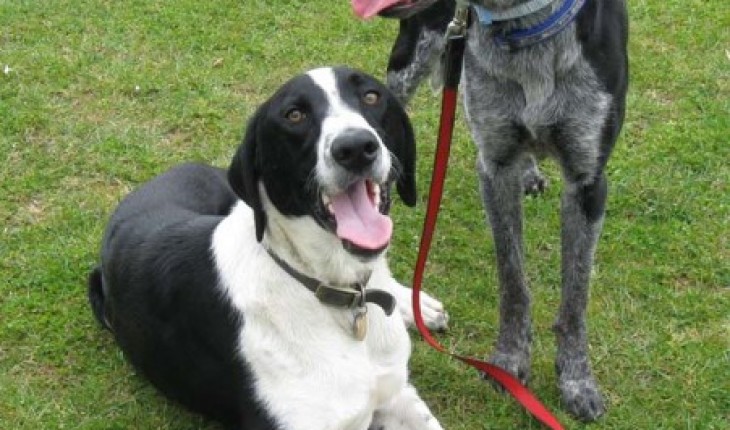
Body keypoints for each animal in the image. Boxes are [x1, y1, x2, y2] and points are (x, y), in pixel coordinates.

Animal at [352, 0, 624, 424]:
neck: (525, 32)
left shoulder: (588, 180)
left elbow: (575, 295)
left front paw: (577, 380)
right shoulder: (495, 167)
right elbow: (512, 279)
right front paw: (509, 362)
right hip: (409, 58)